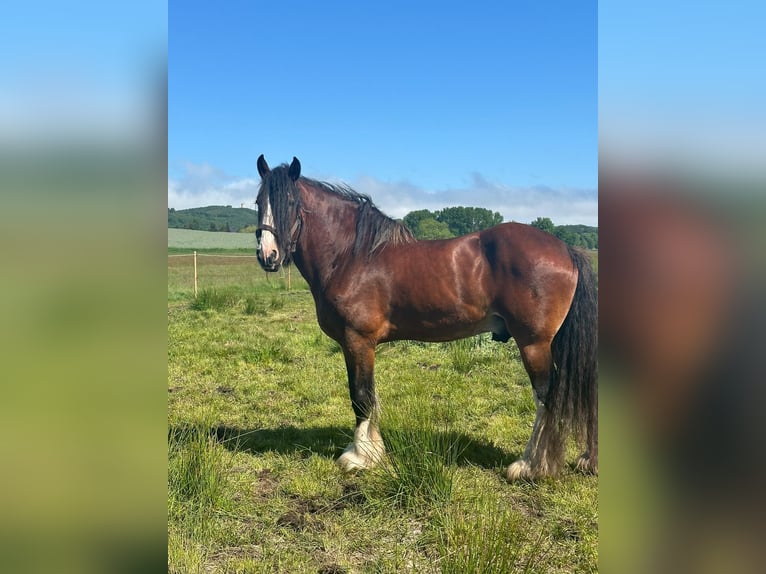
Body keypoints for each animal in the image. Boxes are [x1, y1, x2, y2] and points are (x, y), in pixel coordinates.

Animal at [255, 154, 596, 482]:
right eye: (259, 202)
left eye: (290, 203)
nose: (268, 256)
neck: (351, 257)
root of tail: (566, 249)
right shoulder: (357, 345)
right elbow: (366, 395)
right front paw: (370, 452)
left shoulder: (358, 341)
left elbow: (361, 396)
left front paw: (359, 458)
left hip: (534, 344)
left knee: (545, 399)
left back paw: (530, 466)